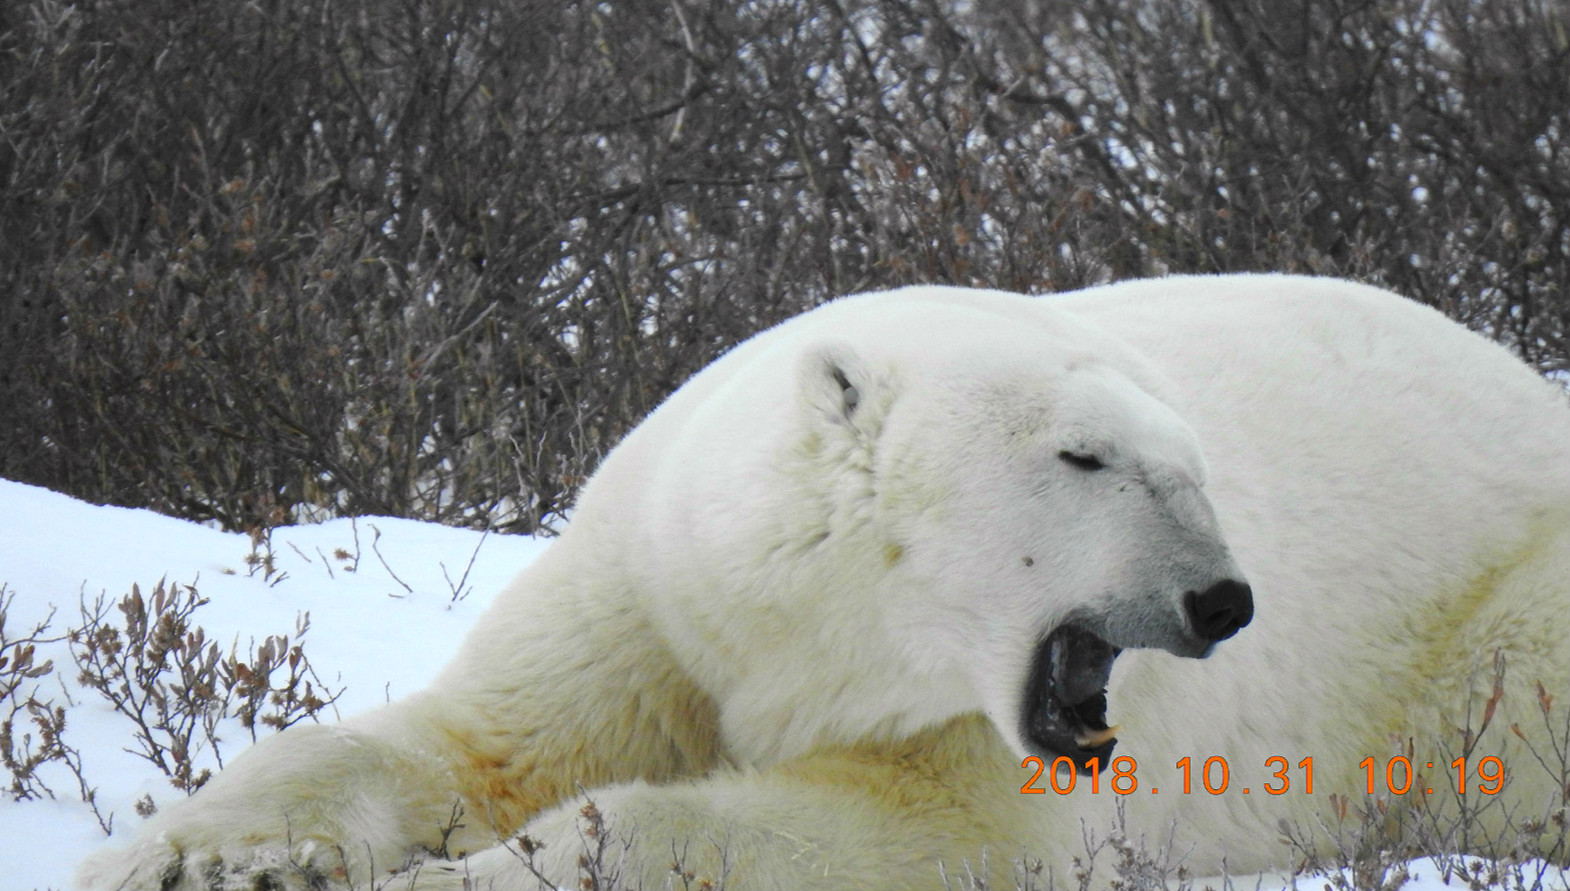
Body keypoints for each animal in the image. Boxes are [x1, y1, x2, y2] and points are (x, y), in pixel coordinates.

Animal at [79, 274, 1570, 884]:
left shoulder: (964, 732)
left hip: (1503, 616)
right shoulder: (645, 606)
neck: (789, 623)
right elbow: (472, 740)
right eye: (1086, 456)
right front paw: (186, 854)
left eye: (1194, 467)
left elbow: (889, 834)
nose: (1226, 598)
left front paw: (470, 878)